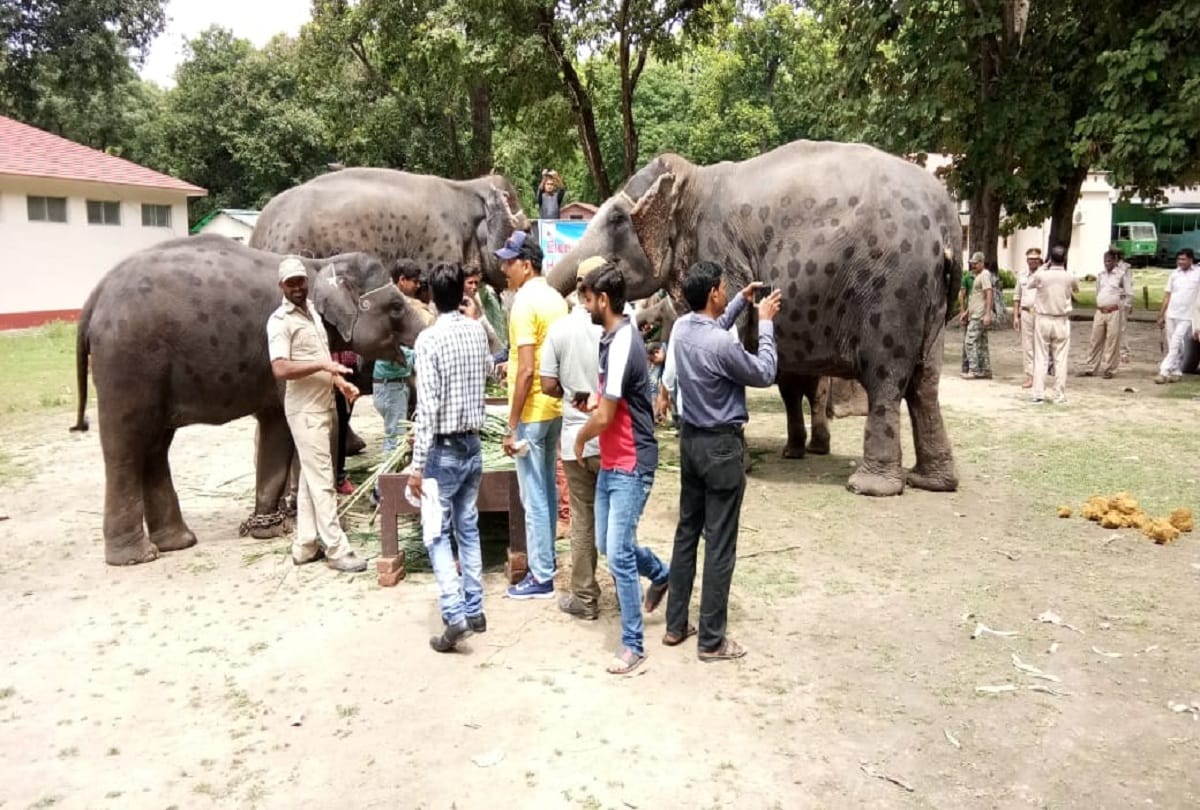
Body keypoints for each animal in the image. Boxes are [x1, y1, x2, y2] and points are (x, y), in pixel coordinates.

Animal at [71, 234, 427, 565]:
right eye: (396, 307)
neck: (319, 266)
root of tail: (94, 298)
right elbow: (309, 422)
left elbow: (275, 425)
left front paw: (269, 528)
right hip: (128, 362)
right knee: (125, 448)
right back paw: (137, 556)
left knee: (156, 447)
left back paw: (178, 542)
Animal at [548, 140, 962, 496]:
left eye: (618, 219)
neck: (692, 181)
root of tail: (947, 218)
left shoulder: (720, 254)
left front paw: (732, 463)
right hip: (930, 298)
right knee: (924, 382)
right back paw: (930, 481)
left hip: (893, 291)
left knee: (887, 379)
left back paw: (870, 486)